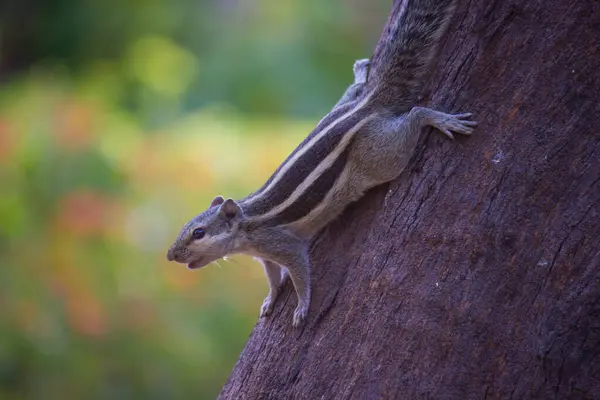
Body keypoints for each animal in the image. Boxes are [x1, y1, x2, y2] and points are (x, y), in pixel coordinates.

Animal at [166, 0, 476, 328]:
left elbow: (300, 272)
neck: (247, 224)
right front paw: (270, 299)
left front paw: (302, 306)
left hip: (379, 155)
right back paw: (360, 75)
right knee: (354, 92)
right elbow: (273, 278)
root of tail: (366, 107)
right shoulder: (266, 256)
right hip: (348, 110)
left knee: (414, 116)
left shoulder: (282, 245)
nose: (171, 255)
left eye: (198, 233)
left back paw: (436, 118)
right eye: (185, 227)